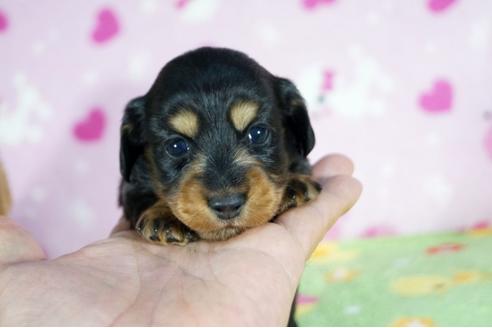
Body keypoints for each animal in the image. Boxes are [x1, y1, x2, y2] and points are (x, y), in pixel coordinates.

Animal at [118, 47, 320, 245]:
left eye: (258, 133)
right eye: (176, 146)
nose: (227, 206)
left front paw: (293, 183)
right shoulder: (131, 184)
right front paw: (163, 215)